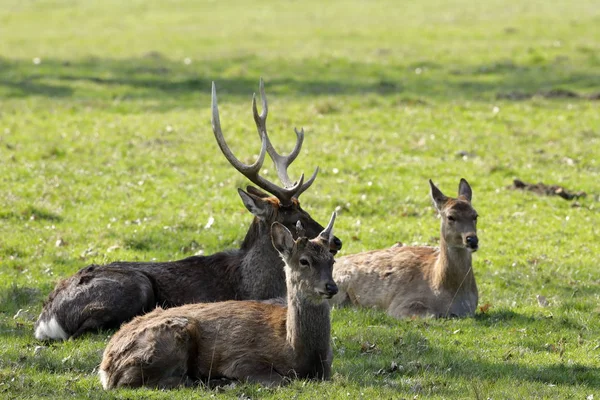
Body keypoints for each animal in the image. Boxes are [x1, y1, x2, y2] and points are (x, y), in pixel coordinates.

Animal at [34, 79, 342, 340]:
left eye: (306, 209)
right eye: (293, 217)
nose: (336, 241)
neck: (253, 282)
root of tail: (45, 320)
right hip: (137, 286)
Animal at [101, 214, 340, 390]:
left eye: (332, 260)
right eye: (304, 261)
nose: (331, 287)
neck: (296, 352)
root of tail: (105, 368)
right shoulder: (241, 359)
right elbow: (281, 380)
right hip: (169, 337)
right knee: (146, 382)